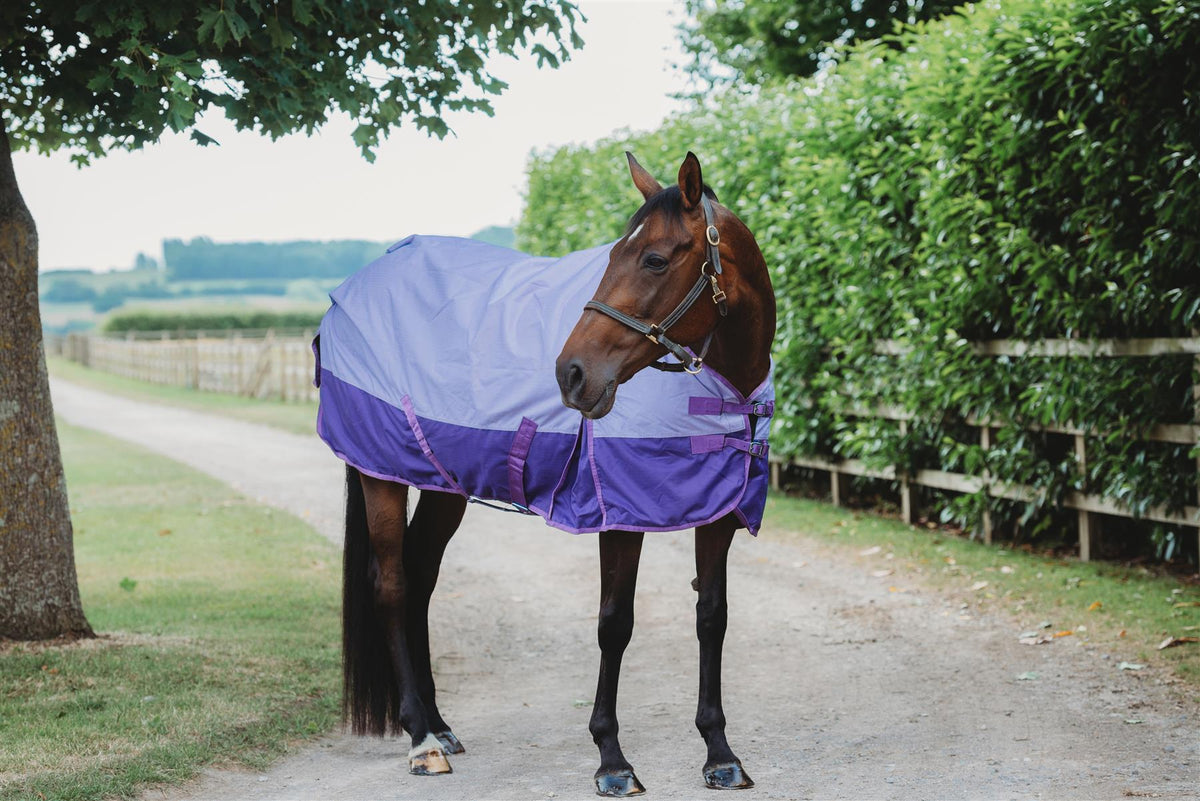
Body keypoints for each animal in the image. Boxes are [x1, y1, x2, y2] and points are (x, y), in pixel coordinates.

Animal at [317, 152, 776, 796]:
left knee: (421, 580)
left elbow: (711, 617)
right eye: (611, 256)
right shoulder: (619, 516)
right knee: (392, 585)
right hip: (380, 473)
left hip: (443, 486)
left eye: (655, 259)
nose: (572, 374)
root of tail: (353, 288)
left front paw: (720, 754)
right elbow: (615, 624)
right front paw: (612, 761)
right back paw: (422, 740)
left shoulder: (718, 511)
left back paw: (440, 725)